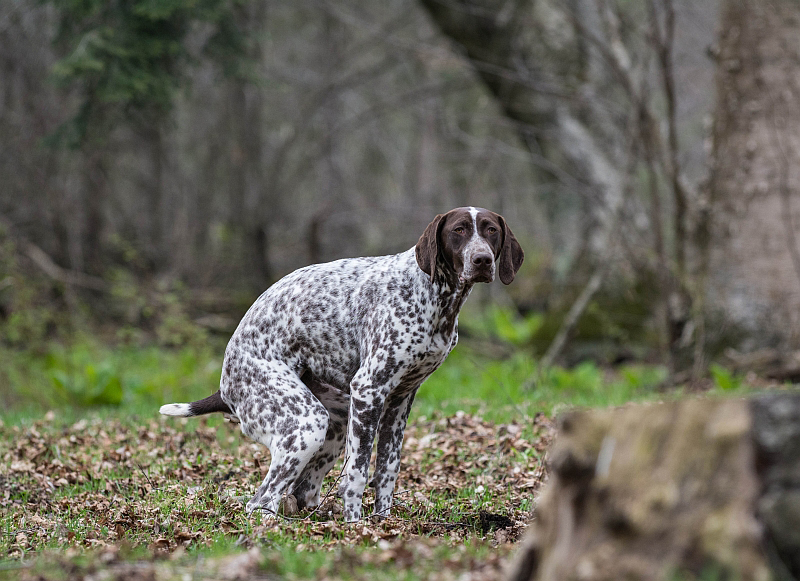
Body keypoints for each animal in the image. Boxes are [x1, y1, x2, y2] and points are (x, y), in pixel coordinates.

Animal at [162, 207, 524, 520]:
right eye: (458, 230)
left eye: (491, 231)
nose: (482, 259)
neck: (434, 296)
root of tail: (225, 386)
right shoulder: (369, 391)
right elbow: (357, 474)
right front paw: (356, 526)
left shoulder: (399, 402)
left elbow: (386, 472)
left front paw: (382, 522)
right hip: (306, 424)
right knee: (260, 501)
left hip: (335, 423)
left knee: (302, 491)